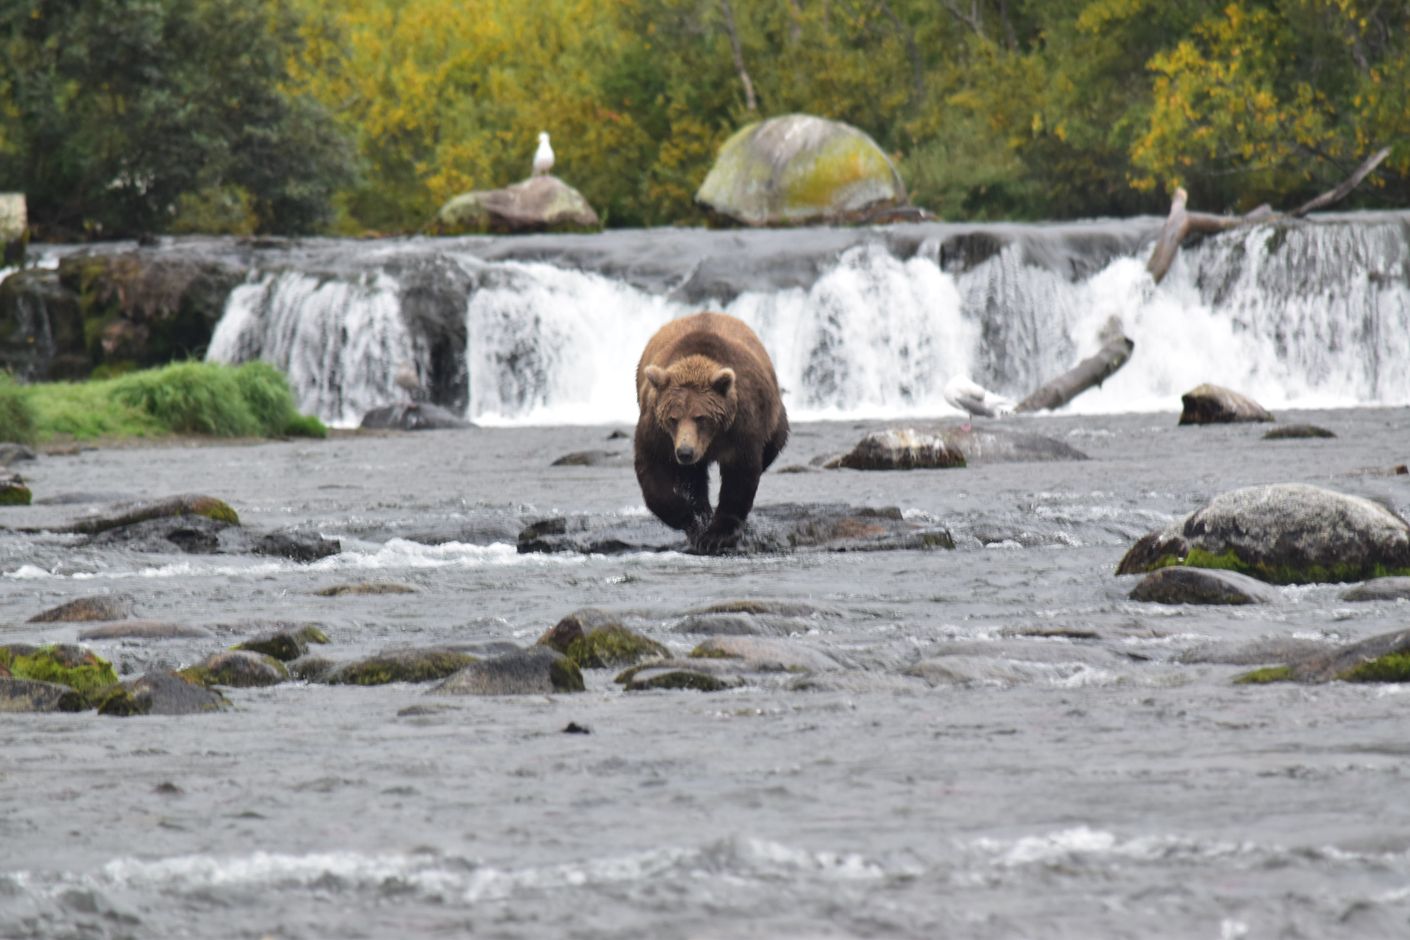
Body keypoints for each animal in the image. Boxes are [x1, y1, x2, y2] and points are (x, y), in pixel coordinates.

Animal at [635, 312, 789, 554]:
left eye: (701, 417)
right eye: (673, 418)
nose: (685, 452)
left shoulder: (741, 427)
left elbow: (739, 475)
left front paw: (715, 535)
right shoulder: (657, 430)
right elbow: (652, 468)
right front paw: (691, 519)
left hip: (772, 416)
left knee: (774, 443)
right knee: (693, 478)